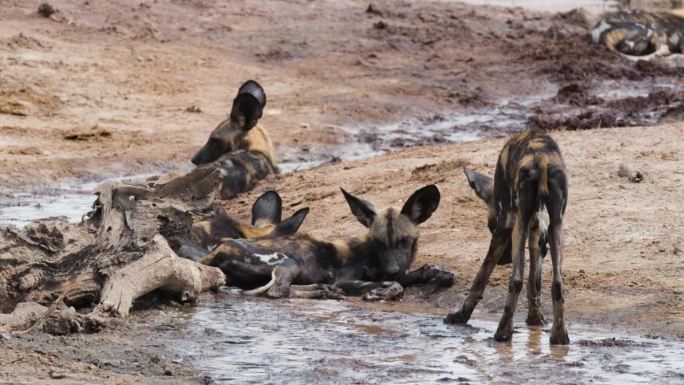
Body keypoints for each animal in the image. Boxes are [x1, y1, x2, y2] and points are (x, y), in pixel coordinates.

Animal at [198, 185, 454, 300]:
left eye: (404, 241)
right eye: (379, 242)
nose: (391, 269)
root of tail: (212, 254)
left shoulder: (400, 271)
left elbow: (421, 271)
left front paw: (441, 273)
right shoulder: (346, 280)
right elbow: (395, 285)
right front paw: (380, 293)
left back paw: (322, 290)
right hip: (288, 262)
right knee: (278, 292)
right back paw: (322, 291)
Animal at [444, 129, 572, 344]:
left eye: (489, 225)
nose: (504, 261)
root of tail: (542, 158)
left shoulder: (505, 223)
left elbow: (481, 276)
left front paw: (460, 316)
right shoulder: (535, 228)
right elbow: (534, 284)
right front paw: (535, 318)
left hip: (517, 223)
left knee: (516, 280)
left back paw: (502, 333)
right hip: (555, 225)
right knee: (557, 283)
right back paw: (559, 336)